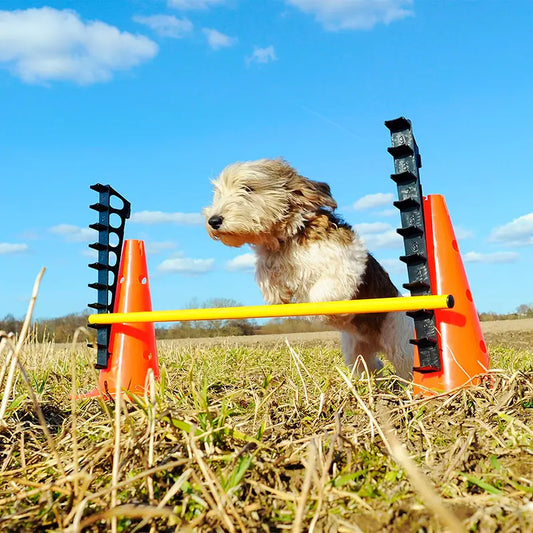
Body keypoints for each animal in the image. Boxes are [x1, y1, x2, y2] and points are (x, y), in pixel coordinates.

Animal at [202, 158, 414, 378]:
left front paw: (321, 313)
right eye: (218, 192)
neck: (290, 237)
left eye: (247, 188)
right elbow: (267, 274)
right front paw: (278, 293)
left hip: (401, 344)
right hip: (356, 352)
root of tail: (375, 341)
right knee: (372, 366)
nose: (213, 220)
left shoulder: (347, 264)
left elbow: (323, 291)